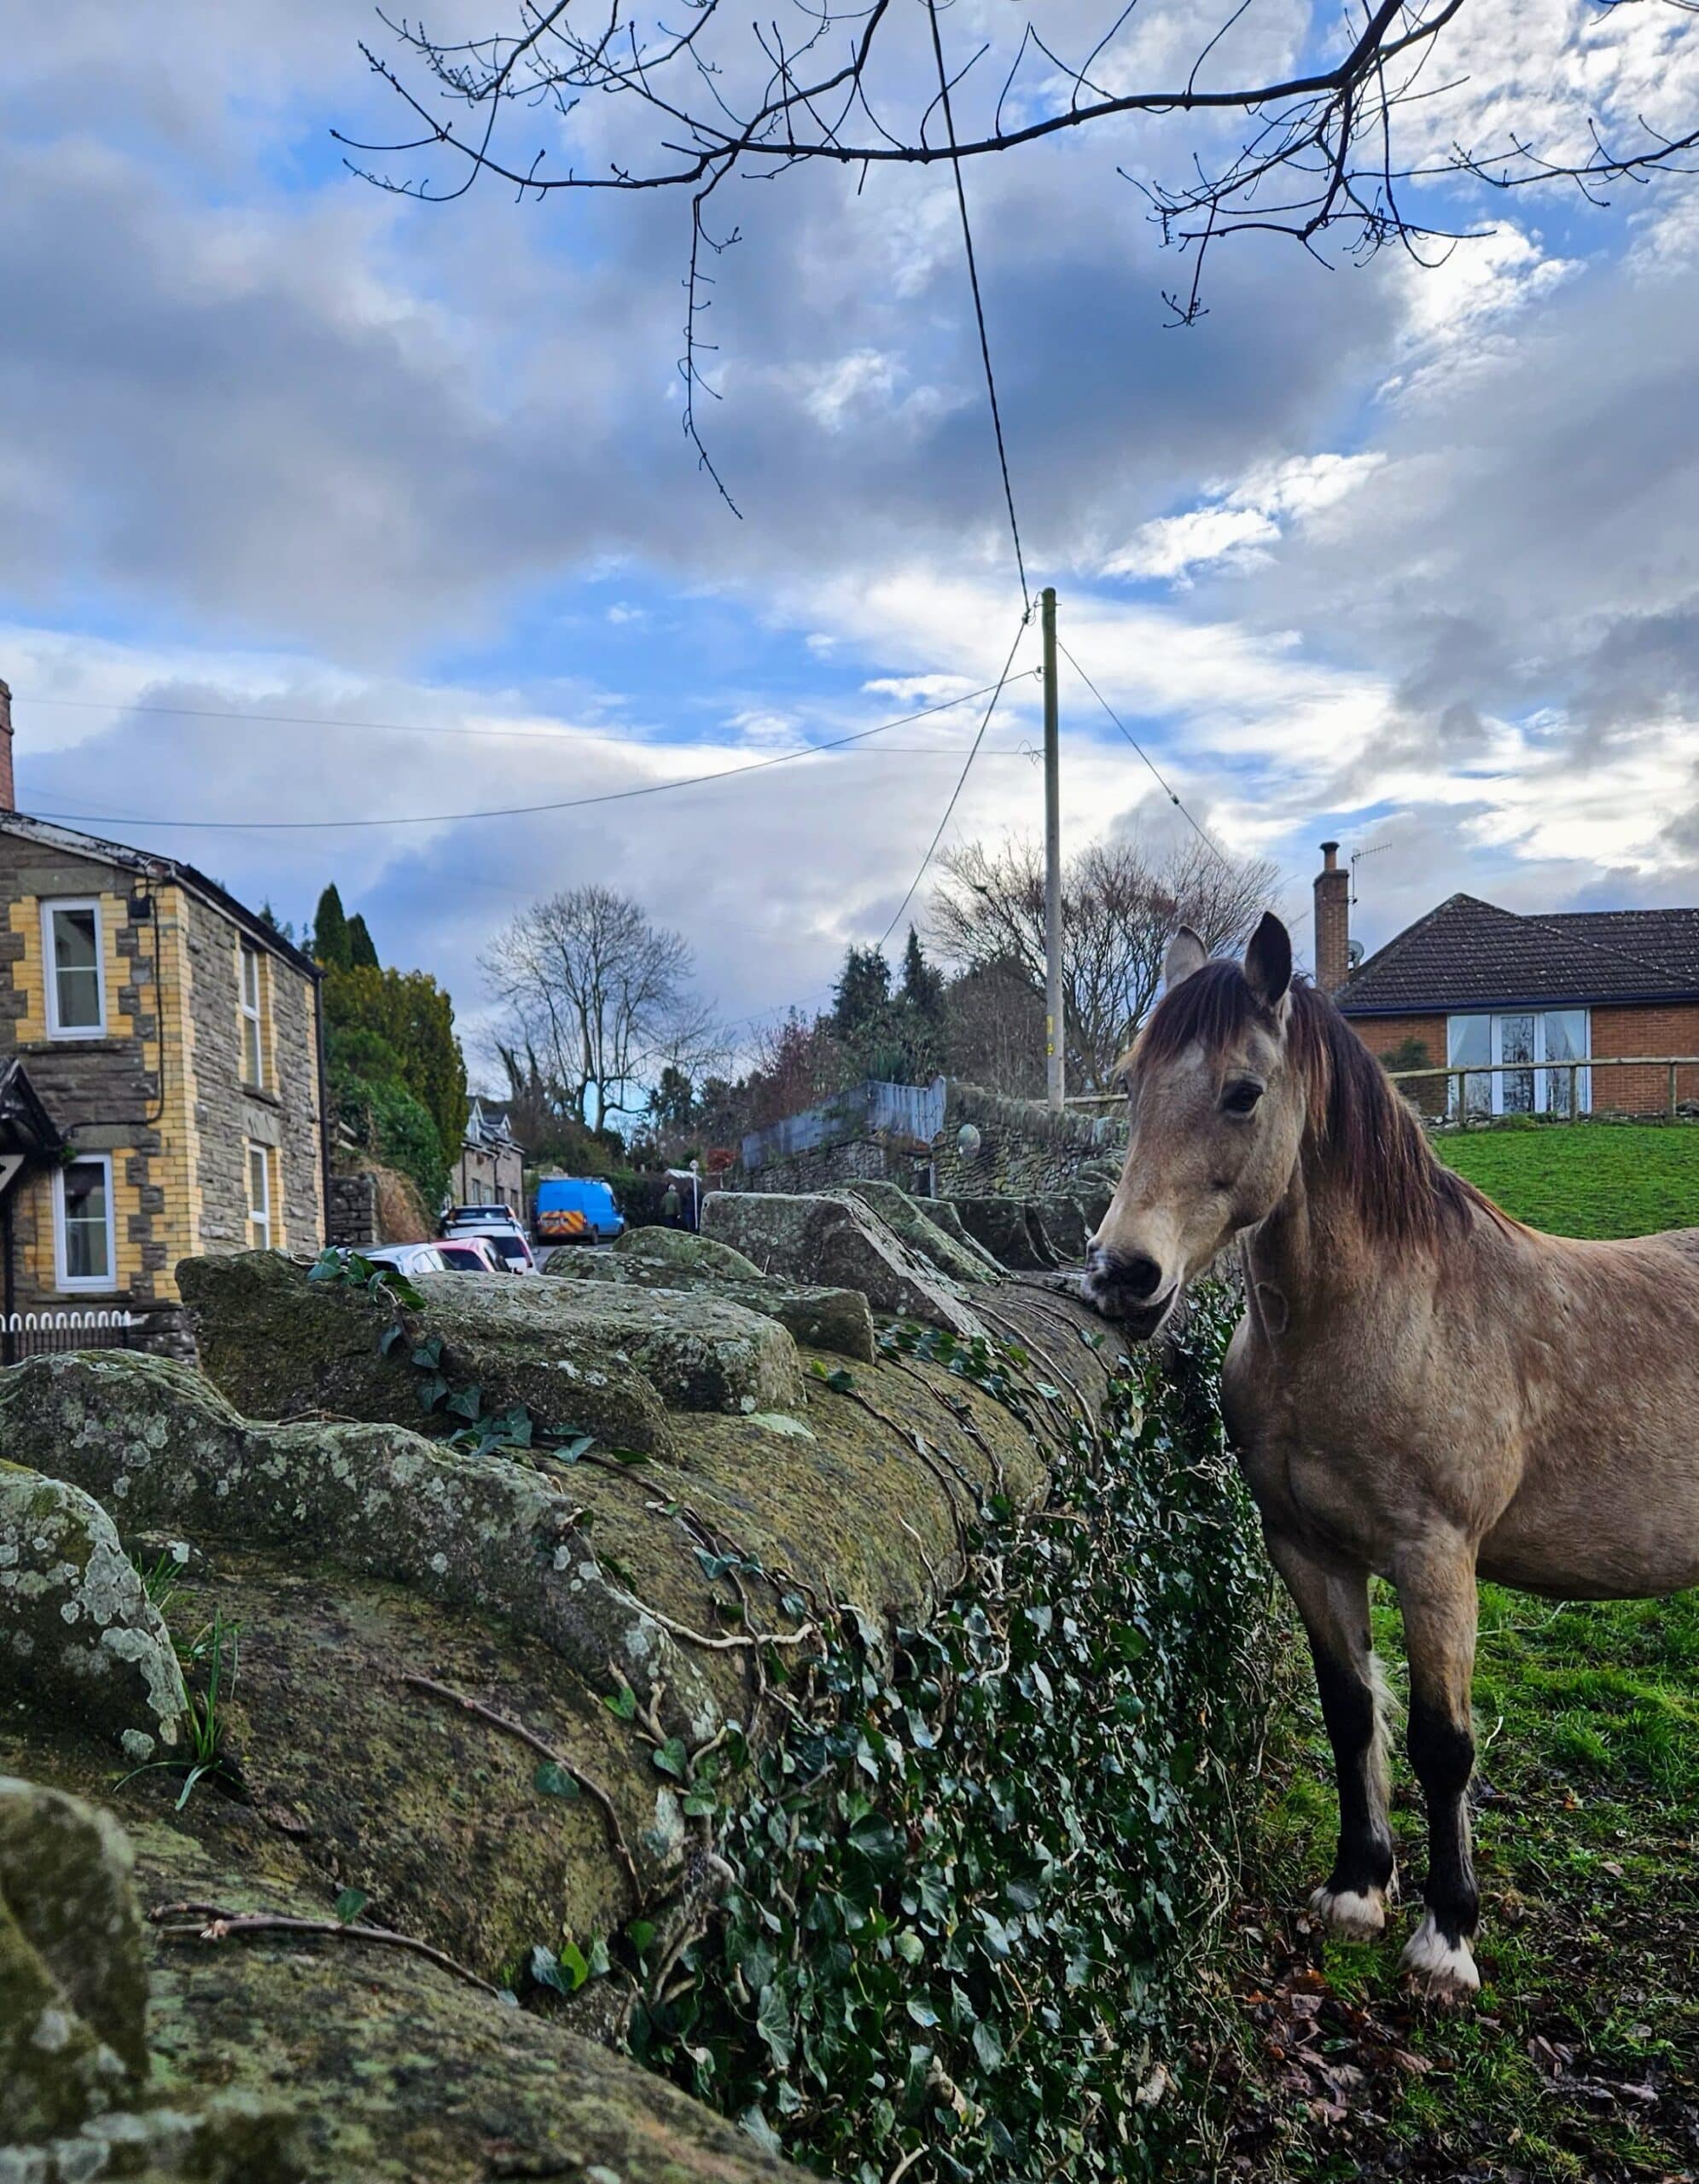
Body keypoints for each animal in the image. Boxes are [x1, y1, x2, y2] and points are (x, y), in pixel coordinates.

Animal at [1081, 910, 1699, 2004]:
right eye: (1127, 1083)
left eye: (1241, 1092)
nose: (1121, 1274)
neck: (1375, 1320)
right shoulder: (1306, 1548)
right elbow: (1350, 1712)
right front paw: (1357, 1886)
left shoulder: (1434, 1560)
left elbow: (1439, 1745)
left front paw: (1445, 1936)